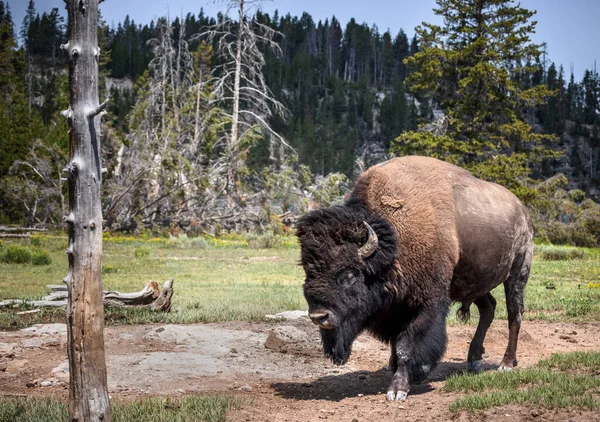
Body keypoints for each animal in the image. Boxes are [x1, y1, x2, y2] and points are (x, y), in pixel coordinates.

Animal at [298, 157, 532, 400]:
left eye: (349, 273)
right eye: (308, 270)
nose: (319, 316)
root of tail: (522, 210)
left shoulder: (426, 304)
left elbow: (406, 344)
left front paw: (398, 389)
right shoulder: (395, 307)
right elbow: (396, 341)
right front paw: (393, 368)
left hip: (517, 273)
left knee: (514, 314)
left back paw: (506, 364)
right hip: (474, 282)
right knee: (488, 308)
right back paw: (474, 360)